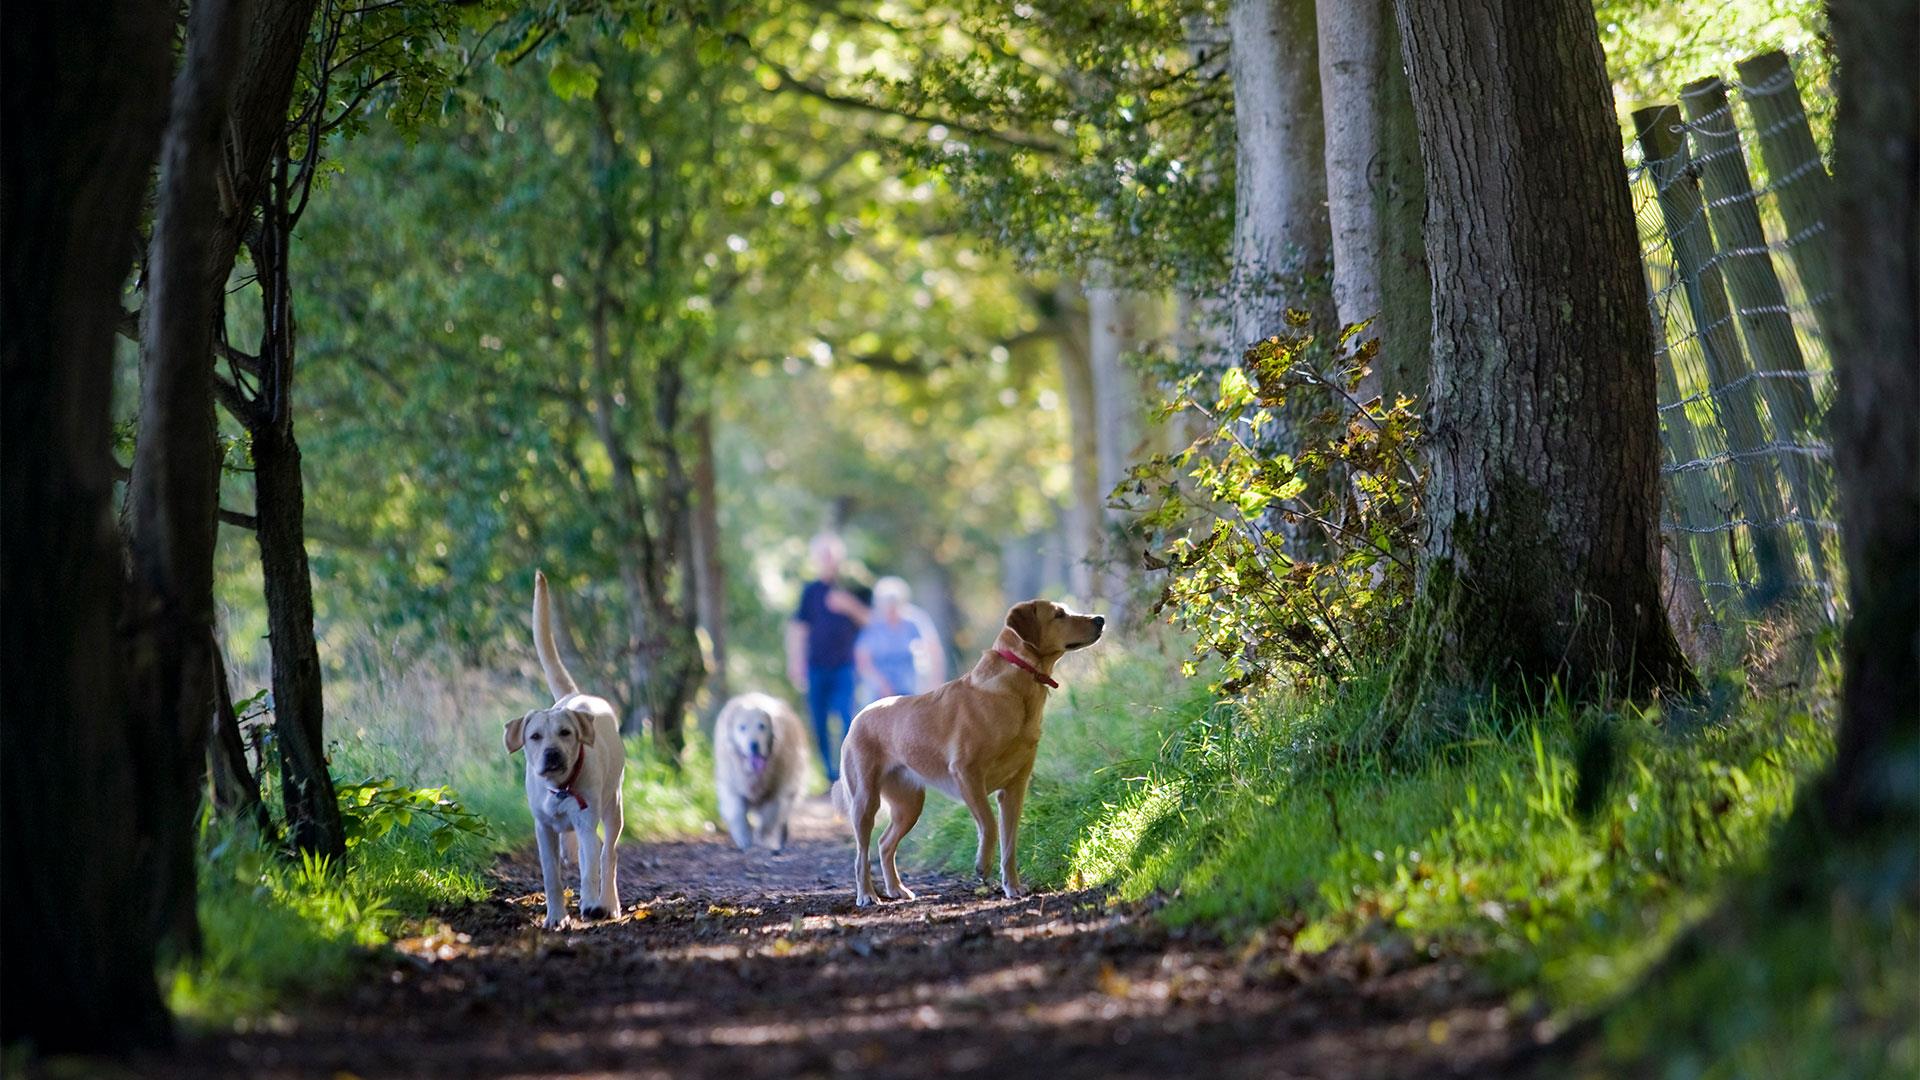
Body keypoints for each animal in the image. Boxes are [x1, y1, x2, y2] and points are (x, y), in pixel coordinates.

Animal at [506, 572, 625, 926]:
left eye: (566, 733)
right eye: (534, 737)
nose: (553, 753)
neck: (561, 788)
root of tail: (576, 695)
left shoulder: (587, 822)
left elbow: (590, 869)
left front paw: (591, 904)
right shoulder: (543, 830)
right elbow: (551, 876)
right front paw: (556, 916)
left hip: (613, 806)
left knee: (607, 853)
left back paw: (608, 902)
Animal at [721, 687, 810, 849]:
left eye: (761, 726)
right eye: (742, 727)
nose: (754, 745)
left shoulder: (776, 792)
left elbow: (769, 818)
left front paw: (761, 837)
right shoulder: (731, 786)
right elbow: (737, 813)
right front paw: (744, 838)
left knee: (781, 818)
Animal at [840, 595, 1113, 899]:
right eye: (1059, 615)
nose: (1100, 619)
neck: (1019, 685)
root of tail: (859, 716)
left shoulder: (1015, 788)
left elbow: (1010, 843)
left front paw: (1012, 886)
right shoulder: (967, 774)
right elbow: (990, 825)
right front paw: (983, 865)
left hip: (909, 804)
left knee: (885, 844)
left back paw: (897, 888)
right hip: (865, 799)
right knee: (861, 854)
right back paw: (867, 894)